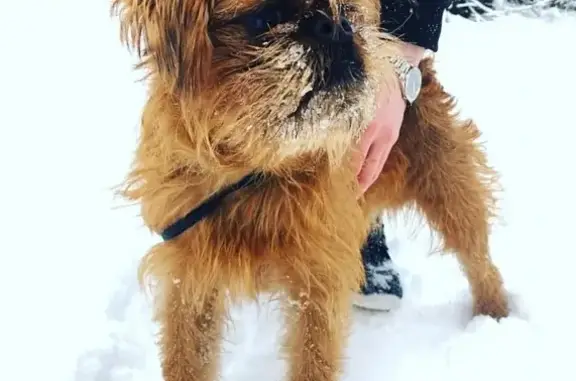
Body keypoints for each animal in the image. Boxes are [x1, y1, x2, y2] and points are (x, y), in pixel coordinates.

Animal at [112, 0, 508, 380]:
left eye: (346, 10)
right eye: (267, 17)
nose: (336, 25)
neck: (260, 166)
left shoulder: (316, 285)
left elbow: (312, 362)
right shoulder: (191, 276)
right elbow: (186, 360)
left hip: (451, 188)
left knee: (478, 259)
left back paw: (494, 314)